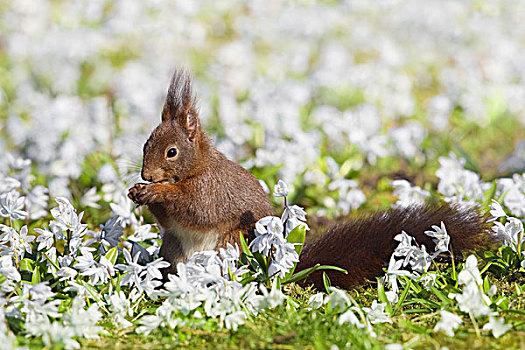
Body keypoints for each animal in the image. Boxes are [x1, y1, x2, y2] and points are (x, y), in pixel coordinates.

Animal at [127, 69, 488, 288]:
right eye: (145, 144)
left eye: (171, 152)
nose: (146, 174)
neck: (197, 167)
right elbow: (170, 220)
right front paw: (137, 191)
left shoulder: (211, 190)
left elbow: (195, 208)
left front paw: (156, 192)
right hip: (174, 251)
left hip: (231, 246)